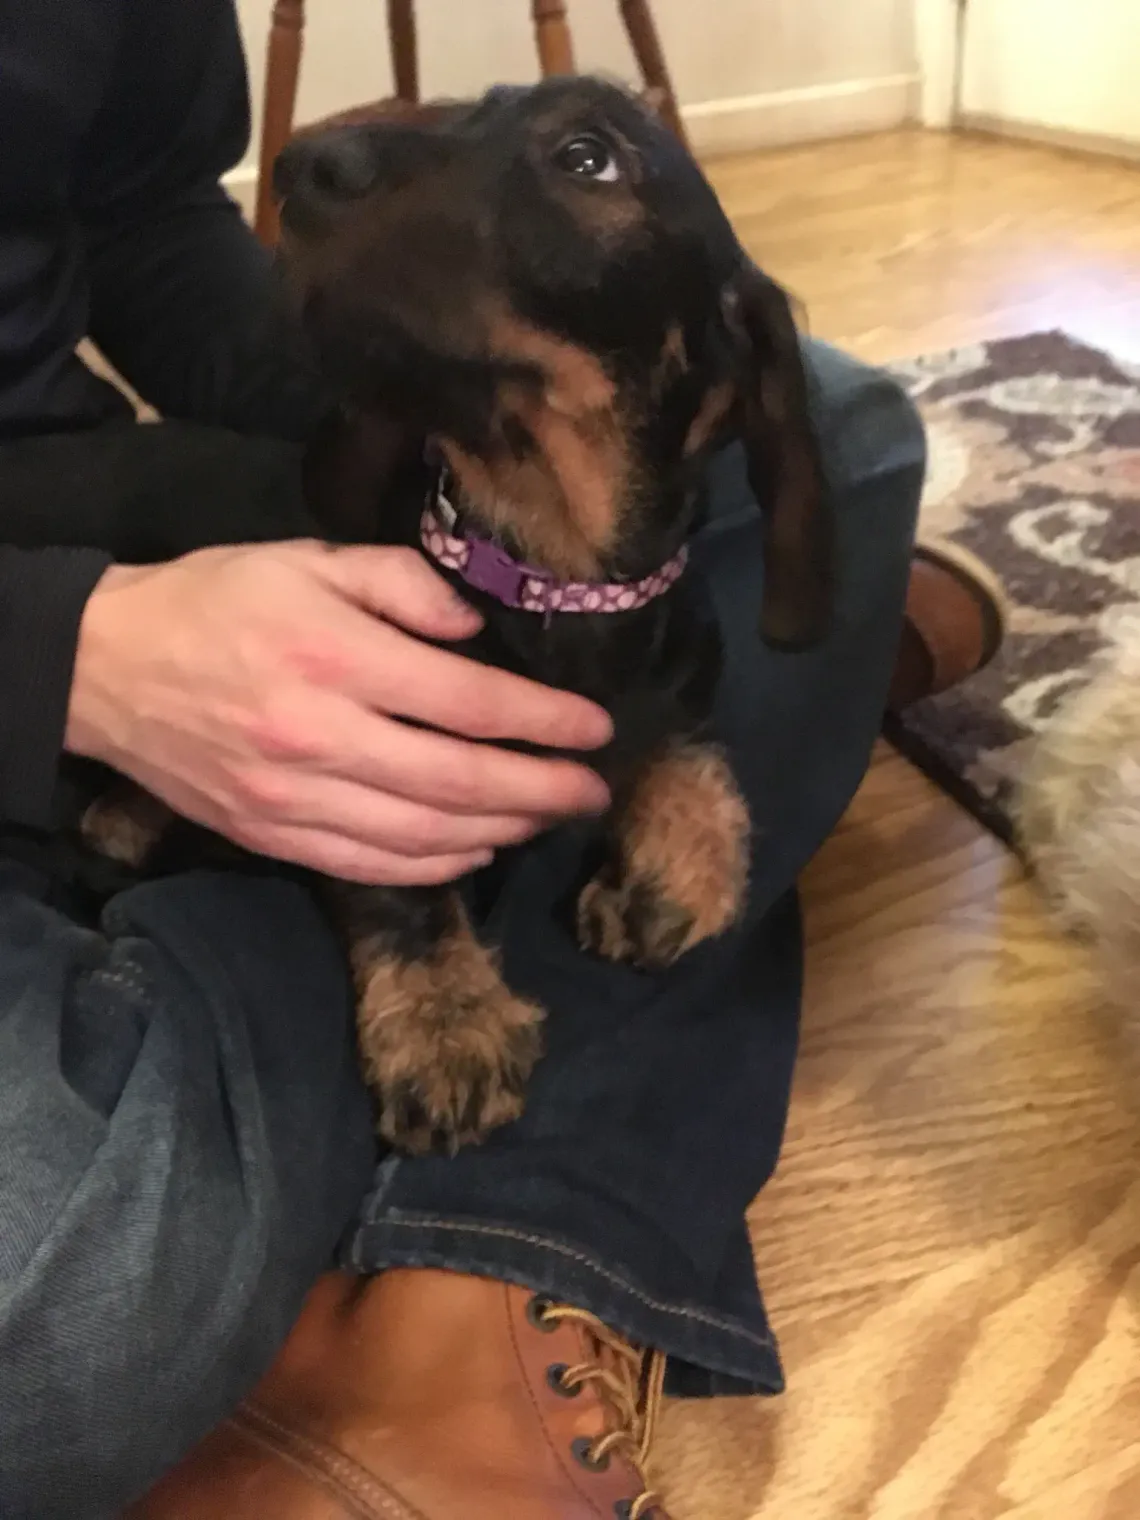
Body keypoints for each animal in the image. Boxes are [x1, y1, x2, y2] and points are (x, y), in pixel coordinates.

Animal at [80, 77, 832, 1149]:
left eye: (588, 156)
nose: (302, 167)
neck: (549, 571)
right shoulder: (362, 756)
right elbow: (400, 889)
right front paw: (445, 1020)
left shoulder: (678, 651)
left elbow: (683, 739)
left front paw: (675, 871)